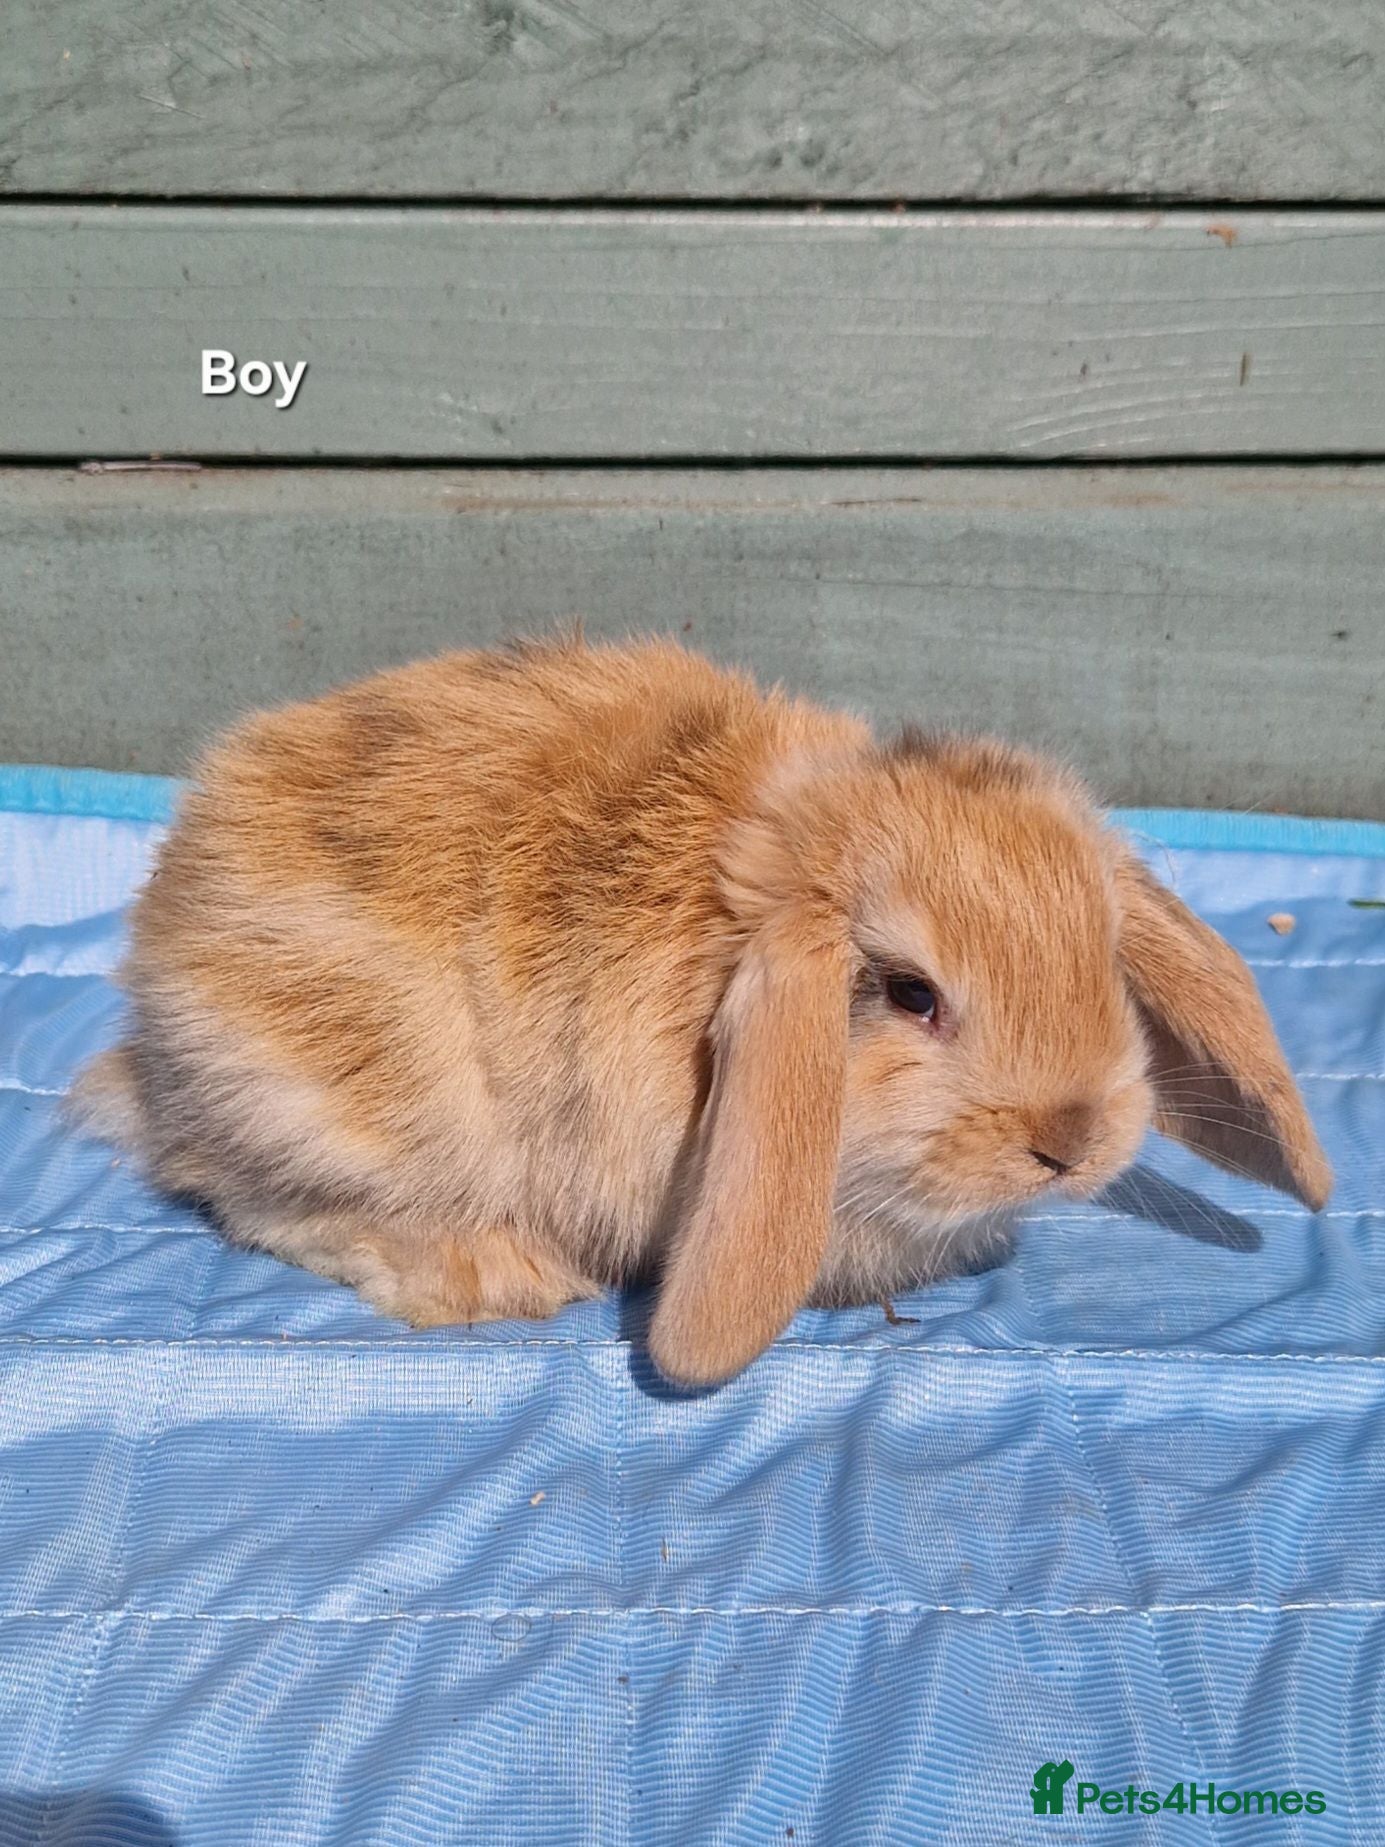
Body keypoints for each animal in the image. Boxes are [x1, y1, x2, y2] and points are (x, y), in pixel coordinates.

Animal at [75, 635, 1330, 1384]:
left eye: (1103, 960)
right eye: (910, 992)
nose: (1069, 1141)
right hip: (330, 1102)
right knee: (256, 1200)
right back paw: (499, 1276)